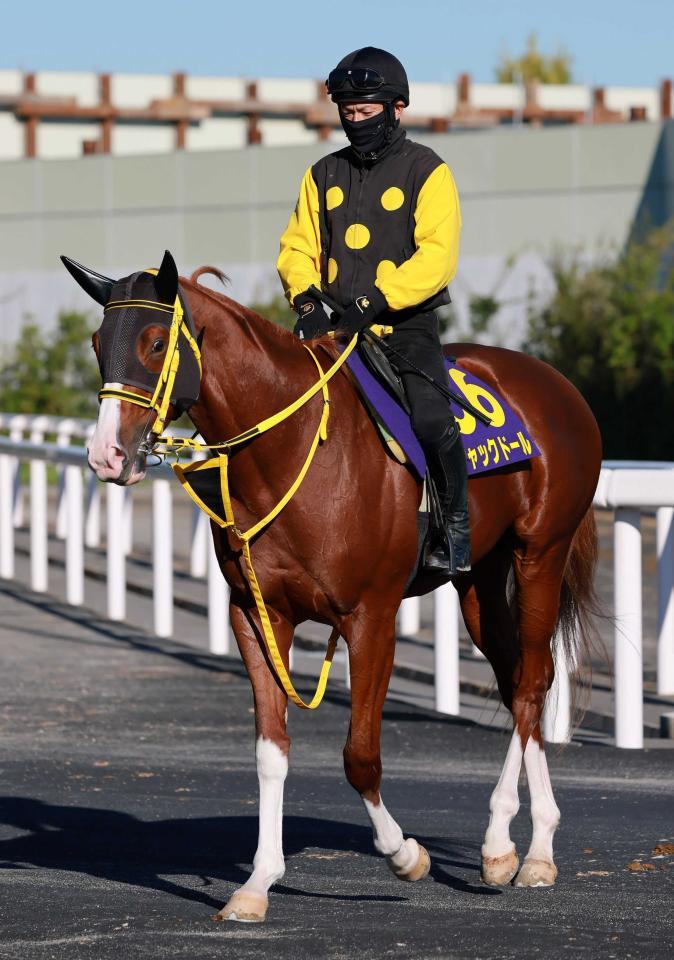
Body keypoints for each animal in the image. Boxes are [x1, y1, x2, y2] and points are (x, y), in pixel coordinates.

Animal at [61, 253, 600, 924]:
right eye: (97, 343)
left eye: (156, 342)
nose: (106, 455)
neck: (292, 452)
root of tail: (557, 384)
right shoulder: (257, 615)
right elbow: (271, 750)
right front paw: (257, 883)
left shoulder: (371, 617)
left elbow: (360, 755)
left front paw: (405, 855)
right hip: (478, 580)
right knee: (521, 676)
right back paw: (532, 839)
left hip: (539, 555)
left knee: (529, 684)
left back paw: (514, 848)